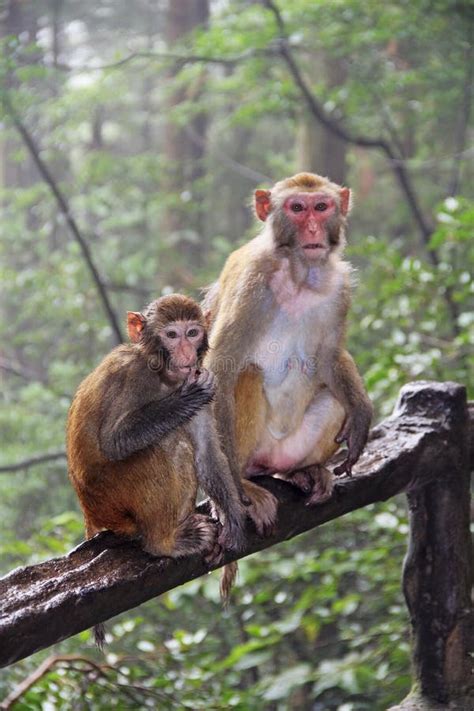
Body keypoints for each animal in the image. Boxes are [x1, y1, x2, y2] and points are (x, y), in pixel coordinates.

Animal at [67, 292, 248, 564]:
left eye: (192, 333)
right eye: (171, 335)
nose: (186, 352)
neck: (164, 376)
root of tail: (89, 513)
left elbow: (207, 452)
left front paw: (233, 518)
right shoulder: (135, 373)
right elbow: (114, 440)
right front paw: (189, 395)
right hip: (111, 502)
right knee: (170, 443)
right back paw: (163, 542)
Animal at [204, 173, 374, 516]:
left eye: (320, 207)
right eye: (297, 208)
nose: (312, 229)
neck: (299, 273)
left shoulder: (340, 286)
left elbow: (328, 356)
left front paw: (362, 414)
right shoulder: (251, 281)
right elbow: (220, 370)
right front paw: (232, 492)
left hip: (290, 448)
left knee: (333, 398)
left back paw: (303, 472)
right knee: (247, 374)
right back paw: (245, 480)